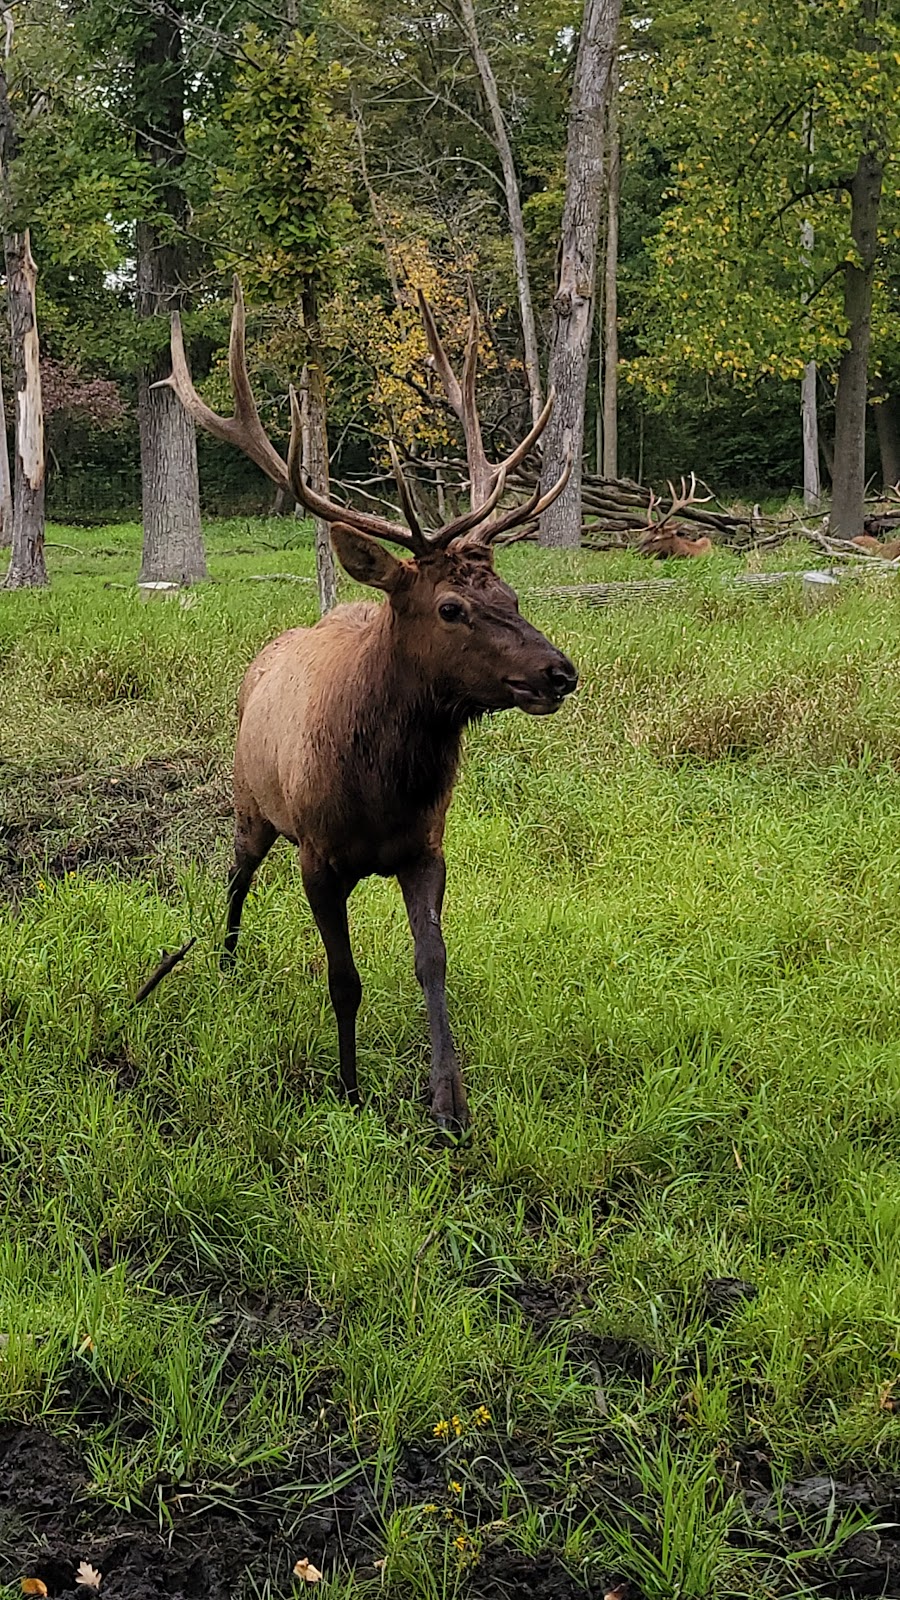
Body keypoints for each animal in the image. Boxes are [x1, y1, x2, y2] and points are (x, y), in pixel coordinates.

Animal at [140, 284, 573, 1139]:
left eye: (510, 594)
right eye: (449, 607)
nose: (560, 672)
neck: (381, 793)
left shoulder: (427, 846)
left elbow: (432, 962)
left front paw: (449, 1104)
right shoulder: (319, 857)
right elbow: (344, 979)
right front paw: (347, 1087)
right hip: (250, 802)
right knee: (235, 874)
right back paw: (225, 963)